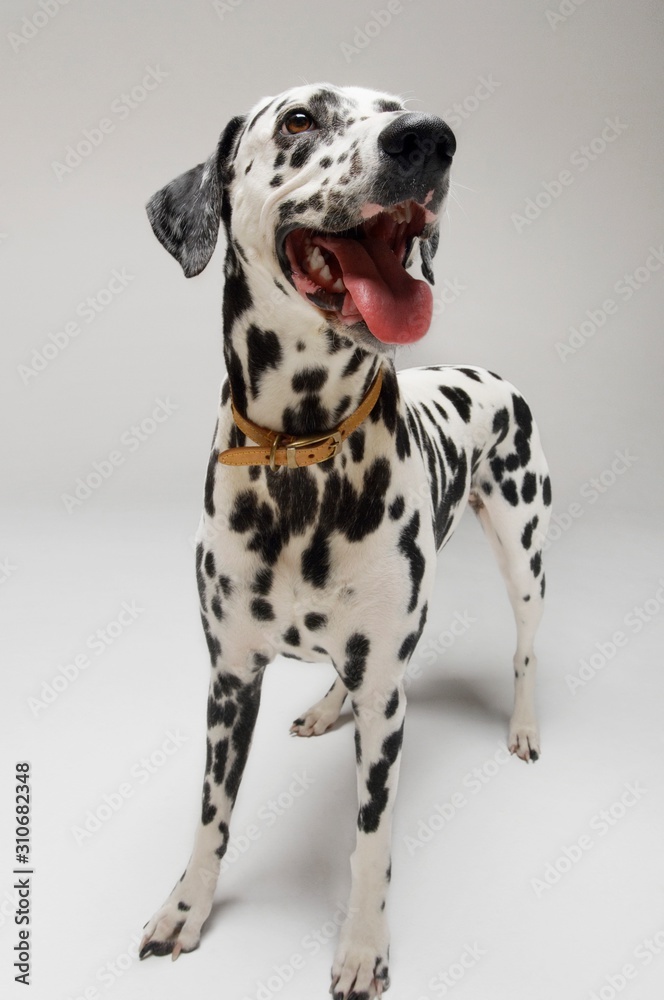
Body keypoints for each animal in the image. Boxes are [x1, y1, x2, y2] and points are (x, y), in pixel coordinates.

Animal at [139, 82, 548, 996]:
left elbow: (370, 840)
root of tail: (490, 373)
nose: (428, 138)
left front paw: (363, 946)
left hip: (524, 552)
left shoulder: (387, 706)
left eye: (398, 106)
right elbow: (211, 817)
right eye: (300, 118)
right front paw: (186, 909)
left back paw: (524, 724)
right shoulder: (229, 680)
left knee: (525, 649)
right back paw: (329, 705)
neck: (302, 457)